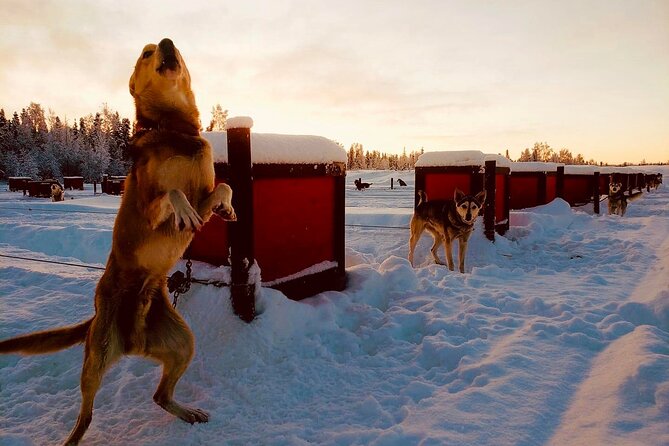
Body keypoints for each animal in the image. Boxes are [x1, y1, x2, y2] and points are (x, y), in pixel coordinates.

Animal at [0, 38, 235, 446]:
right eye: (147, 52)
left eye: (169, 47)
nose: (167, 42)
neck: (174, 130)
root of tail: (130, 340)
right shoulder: (147, 204)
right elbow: (172, 192)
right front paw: (181, 206)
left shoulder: (204, 197)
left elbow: (222, 188)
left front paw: (228, 208)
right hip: (95, 361)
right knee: (85, 415)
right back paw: (73, 438)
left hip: (182, 343)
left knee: (159, 396)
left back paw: (187, 412)